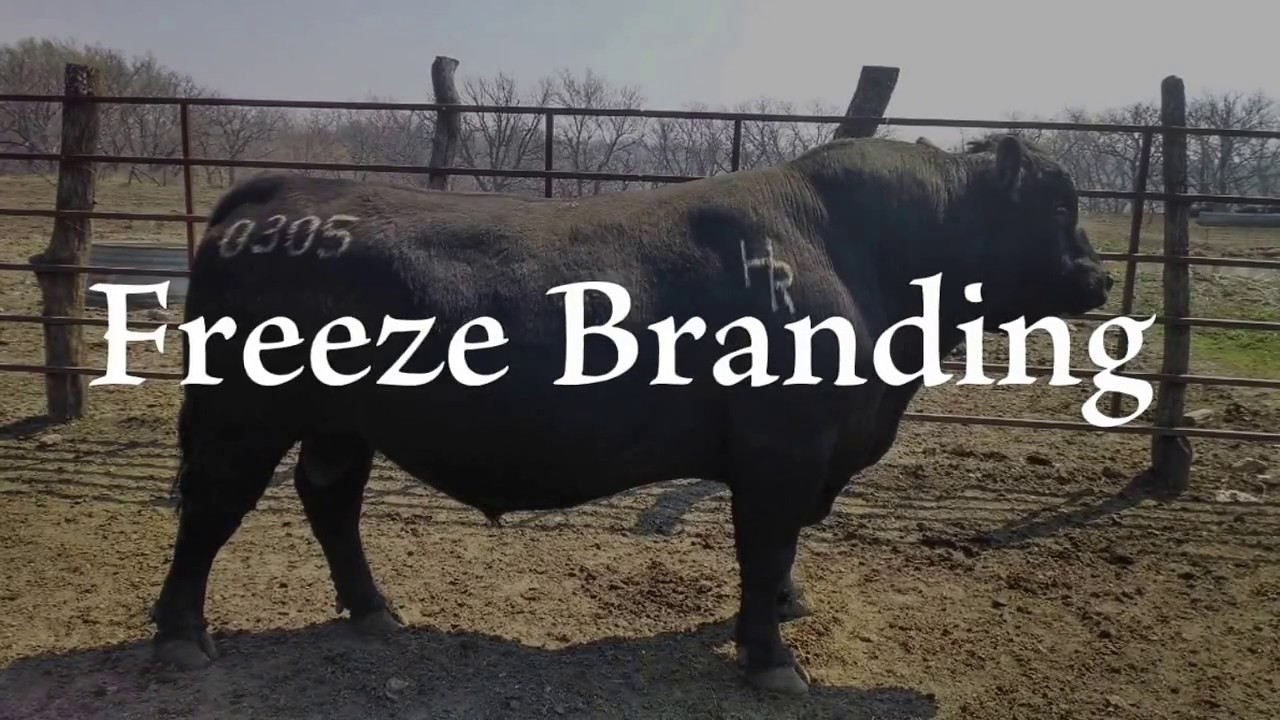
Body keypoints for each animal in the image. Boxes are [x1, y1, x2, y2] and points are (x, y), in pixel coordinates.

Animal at [147, 132, 1111, 696]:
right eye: (1061, 204)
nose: (1101, 276)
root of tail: (279, 196)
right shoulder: (783, 450)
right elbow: (765, 550)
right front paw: (773, 662)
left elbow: (778, 556)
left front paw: (775, 621)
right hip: (242, 417)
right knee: (211, 511)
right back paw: (184, 639)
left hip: (343, 424)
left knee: (330, 501)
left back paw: (374, 611)